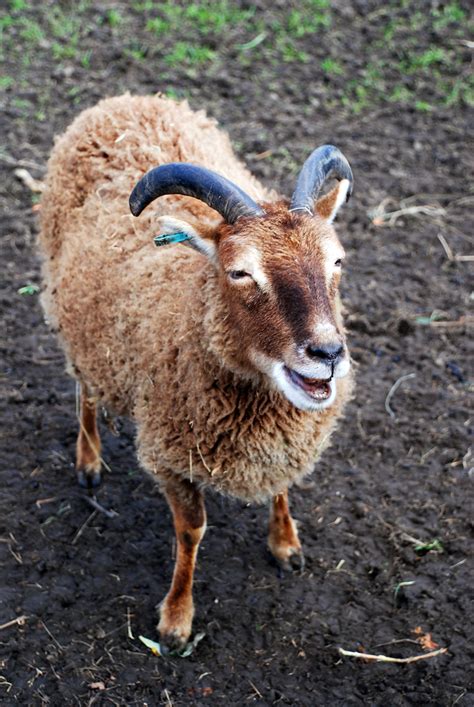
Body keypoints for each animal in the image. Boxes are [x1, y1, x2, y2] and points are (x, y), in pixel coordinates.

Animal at [39, 92, 354, 652]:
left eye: (336, 261)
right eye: (240, 271)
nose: (327, 352)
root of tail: (124, 100)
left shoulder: (282, 443)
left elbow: (281, 486)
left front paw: (286, 543)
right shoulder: (169, 456)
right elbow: (191, 532)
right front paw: (176, 620)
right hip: (70, 310)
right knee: (85, 386)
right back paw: (88, 458)